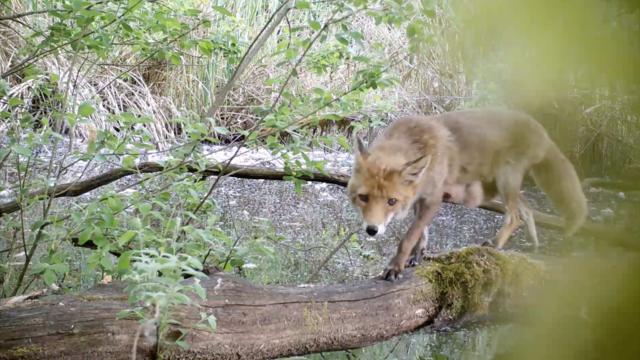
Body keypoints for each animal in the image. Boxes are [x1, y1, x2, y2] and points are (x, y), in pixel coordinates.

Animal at [348, 108, 588, 280]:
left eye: (392, 201)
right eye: (363, 198)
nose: (372, 230)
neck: (414, 140)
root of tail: (542, 130)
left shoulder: (433, 199)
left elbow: (408, 237)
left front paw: (395, 266)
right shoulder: (419, 197)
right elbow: (421, 232)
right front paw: (417, 255)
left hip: (504, 181)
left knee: (515, 217)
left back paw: (496, 243)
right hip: (500, 186)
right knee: (527, 210)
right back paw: (534, 246)